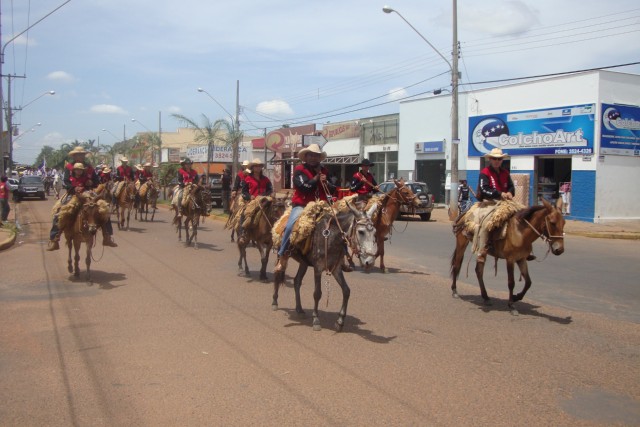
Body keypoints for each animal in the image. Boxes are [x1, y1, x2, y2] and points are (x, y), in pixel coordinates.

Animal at [272, 202, 380, 332]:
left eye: (375, 232)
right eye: (361, 232)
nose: (370, 262)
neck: (332, 237)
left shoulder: (336, 268)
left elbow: (346, 291)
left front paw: (340, 322)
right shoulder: (318, 268)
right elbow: (317, 293)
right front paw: (316, 320)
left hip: (303, 263)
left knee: (297, 281)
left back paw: (299, 310)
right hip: (280, 254)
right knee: (277, 275)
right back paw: (275, 302)